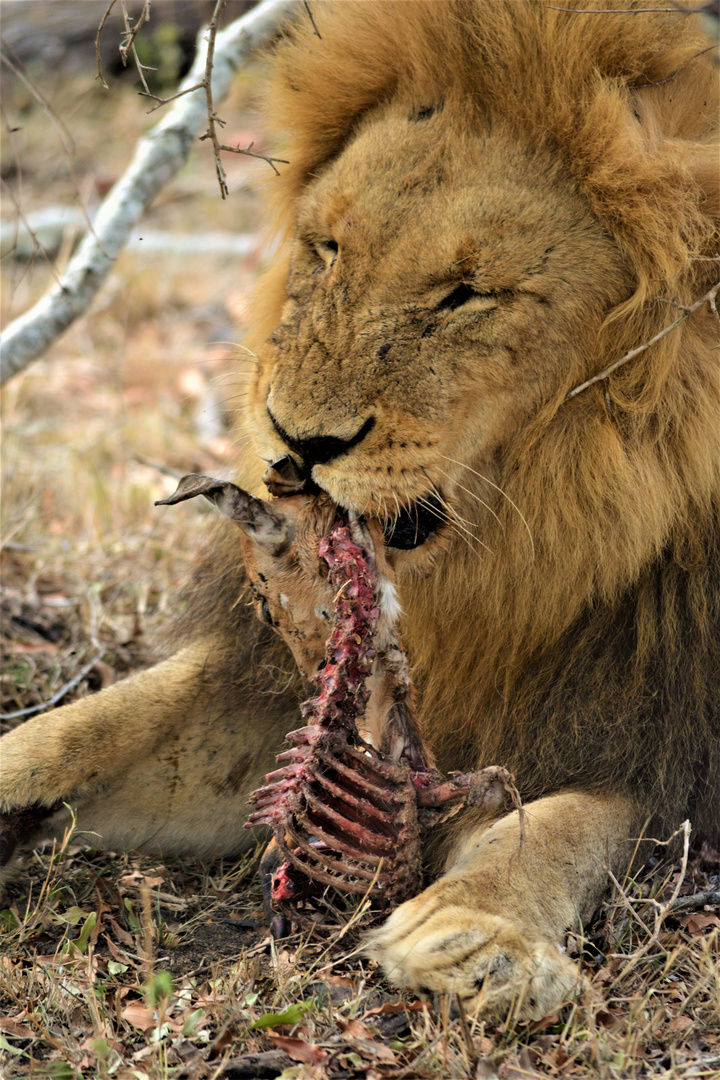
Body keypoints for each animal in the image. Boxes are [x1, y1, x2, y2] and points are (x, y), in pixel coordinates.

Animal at [1, 0, 720, 1019]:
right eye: (330, 249)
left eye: (467, 294)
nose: (298, 442)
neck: (509, 565)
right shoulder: (270, 682)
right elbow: (94, 723)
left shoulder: (667, 736)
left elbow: (564, 820)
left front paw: (480, 931)